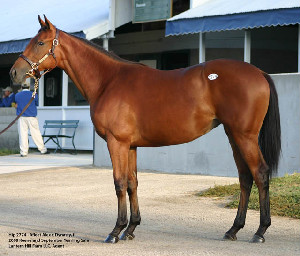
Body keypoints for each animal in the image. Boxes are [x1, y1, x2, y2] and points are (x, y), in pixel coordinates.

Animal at [9, 16, 282, 244]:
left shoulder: (116, 142)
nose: (14, 73)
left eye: (40, 43)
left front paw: (115, 231)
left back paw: (260, 232)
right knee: (245, 178)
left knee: (260, 173)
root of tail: (259, 72)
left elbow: (119, 182)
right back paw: (233, 229)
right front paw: (131, 228)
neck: (109, 80)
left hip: (244, 136)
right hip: (233, 136)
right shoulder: (130, 145)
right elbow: (133, 183)